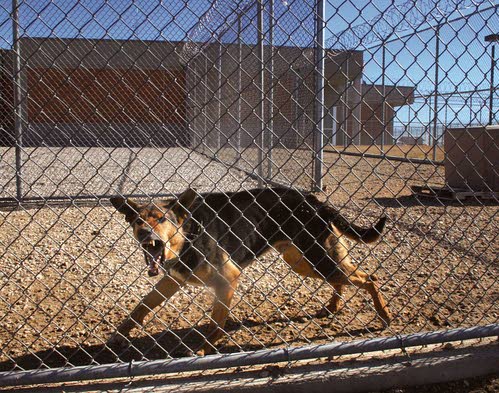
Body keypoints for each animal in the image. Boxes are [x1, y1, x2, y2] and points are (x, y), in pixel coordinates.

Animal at [111, 187, 392, 356]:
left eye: (161, 219)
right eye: (138, 221)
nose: (145, 234)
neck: (189, 233)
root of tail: (315, 202)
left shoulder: (227, 280)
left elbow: (216, 323)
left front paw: (204, 349)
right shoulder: (172, 279)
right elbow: (142, 306)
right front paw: (119, 334)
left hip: (319, 258)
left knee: (369, 277)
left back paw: (384, 315)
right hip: (304, 262)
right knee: (344, 279)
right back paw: (333, 306)